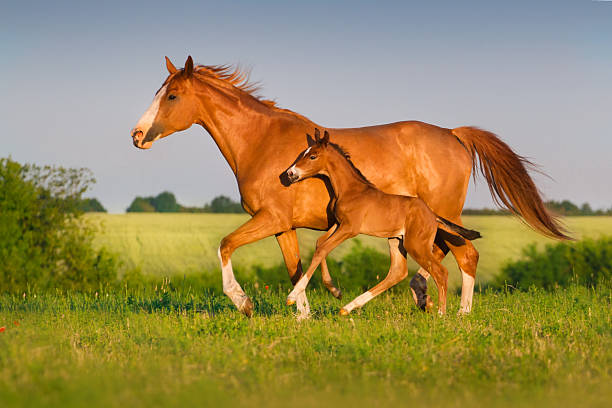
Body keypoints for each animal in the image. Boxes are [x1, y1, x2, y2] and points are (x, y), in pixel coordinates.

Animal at [284, 129, 480, 314]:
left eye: (313, 156)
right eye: (302, 153)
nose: (290, 173)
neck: (350, 190)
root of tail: (433, 215)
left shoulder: (350, 228)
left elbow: (323, 248)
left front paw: (292, 296)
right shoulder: (338, 224)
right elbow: (320, 244)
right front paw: (335, 291)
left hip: (416, 244)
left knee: (441, 272)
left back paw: (441, 313)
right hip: (396, 240)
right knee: (398, 272)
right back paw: (348, 307)